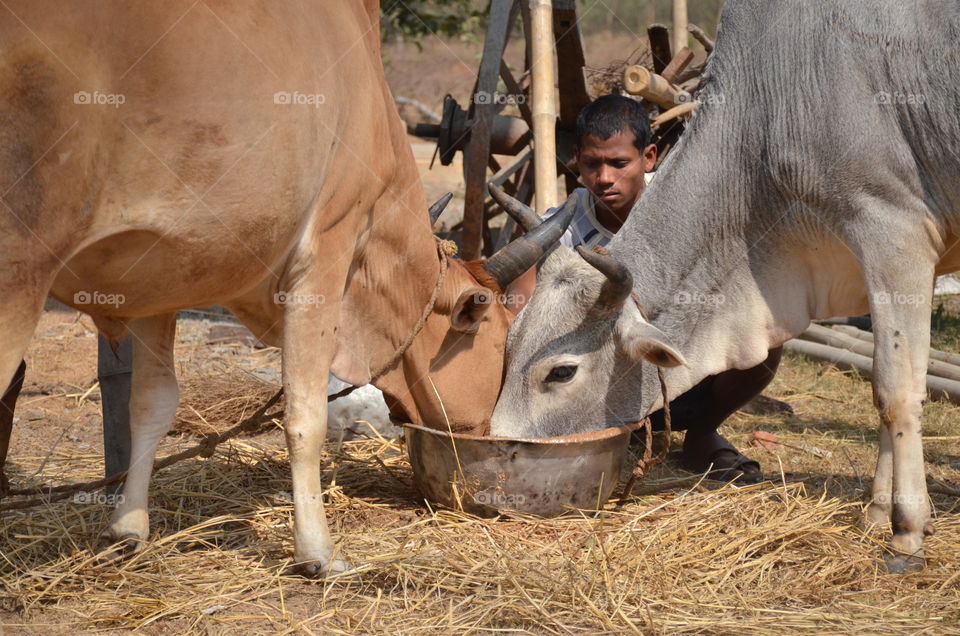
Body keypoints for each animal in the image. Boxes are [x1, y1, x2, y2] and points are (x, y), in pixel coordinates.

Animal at [0, 1, 564, 576]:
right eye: (495, 334)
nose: (486, 434)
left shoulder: (161, 280)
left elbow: (151, 405)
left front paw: (128, 529)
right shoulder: (326, 251)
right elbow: (305, 412)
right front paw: (318, 552)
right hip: (18, 269)